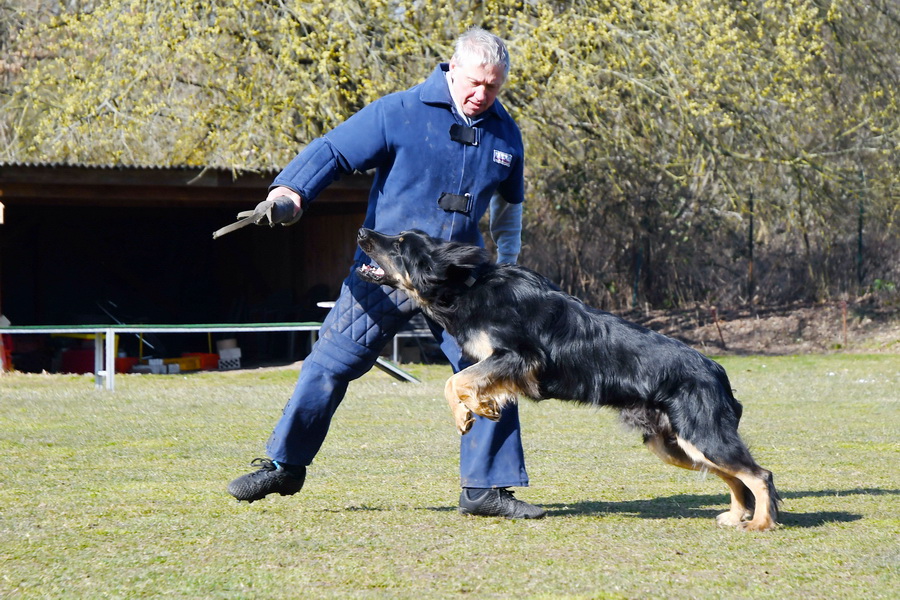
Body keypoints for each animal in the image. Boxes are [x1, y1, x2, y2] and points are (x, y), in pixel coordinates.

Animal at [356, 226, 776, 528]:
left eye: (399, 245)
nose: (362, 231)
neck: (466, 286)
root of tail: (716, 370)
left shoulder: (521, 357)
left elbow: (455, 381)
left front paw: (478, 410)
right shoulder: (502, 365)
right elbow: (461, 383)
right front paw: (474, 411)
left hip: (701, 436)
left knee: (760, 474)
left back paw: (760, 524)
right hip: (677, 445)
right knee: (737, 477)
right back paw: (737, 517)